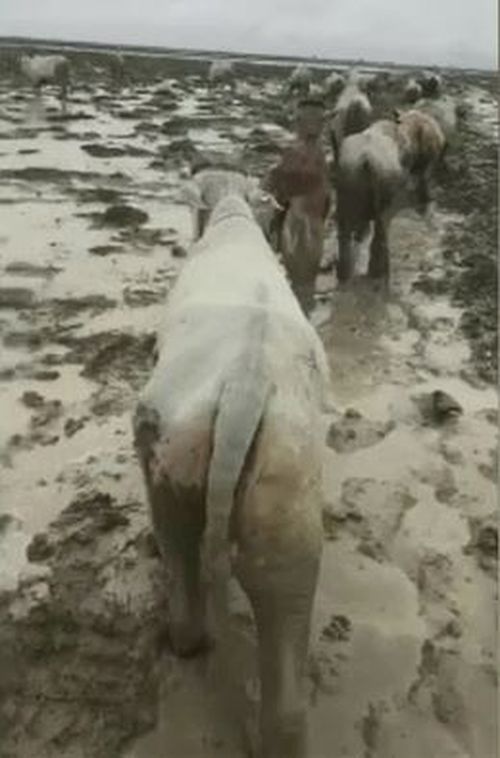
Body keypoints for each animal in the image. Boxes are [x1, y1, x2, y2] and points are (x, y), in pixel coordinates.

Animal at [133, 171, 330, 758]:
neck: (234, 213)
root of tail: (248, 379)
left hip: (172, 442)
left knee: (176, 537)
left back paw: (185, 637)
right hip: (286, 484)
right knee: (285, 588)